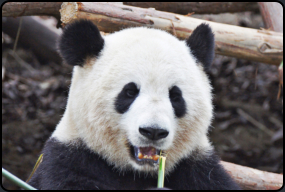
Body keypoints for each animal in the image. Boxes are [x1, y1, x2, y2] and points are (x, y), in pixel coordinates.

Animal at [27, 18, 239, 190]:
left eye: (175, 96)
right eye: (129, 92)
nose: (153, 131)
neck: (138, 172)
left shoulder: (198, 168)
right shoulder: (70, 160)